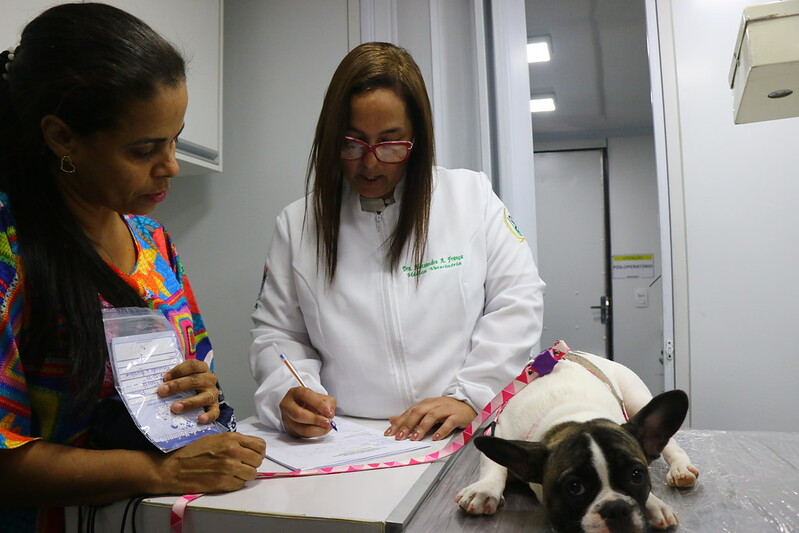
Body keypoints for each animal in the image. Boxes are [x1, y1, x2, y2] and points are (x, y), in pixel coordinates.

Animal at [456, 350, 700, 532]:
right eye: (574, 487)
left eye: (636, 475)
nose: (616, 508)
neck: (573, 414)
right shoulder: (497, 431)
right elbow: (493, 463)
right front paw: (485, 490)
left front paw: (653, 504)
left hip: (636, 398)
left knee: (670, 444)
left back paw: (680, 468)